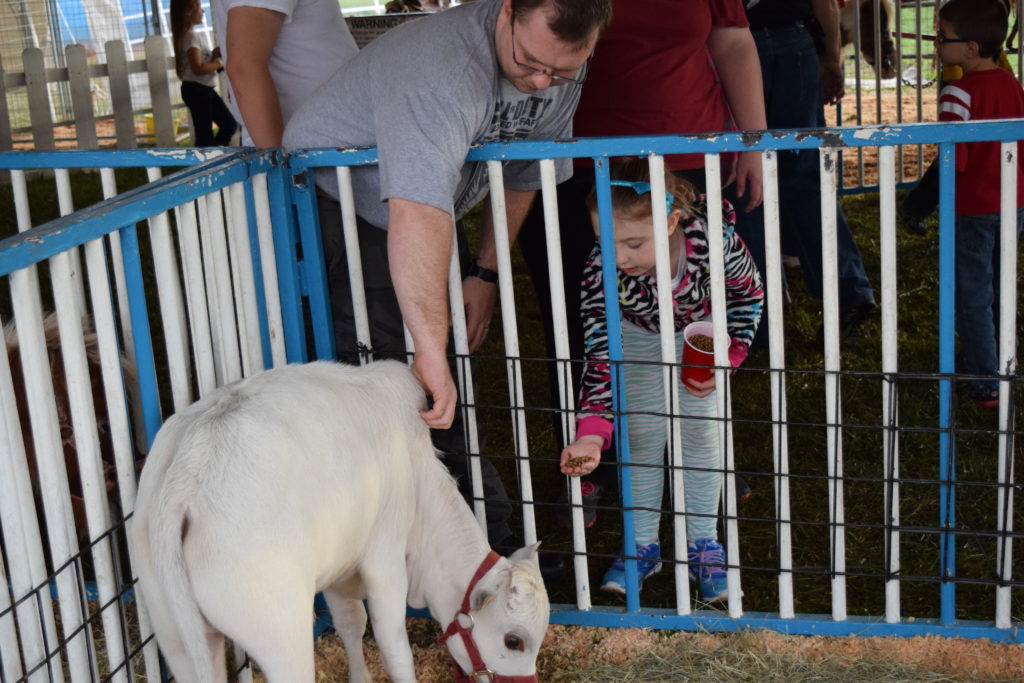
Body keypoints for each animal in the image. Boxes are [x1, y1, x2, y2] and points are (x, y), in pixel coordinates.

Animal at [132, 360, 548, 679]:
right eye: (514, 641)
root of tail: (189, 470)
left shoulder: (337, 567)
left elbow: (351, 624)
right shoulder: (385, 560)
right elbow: (394, 648)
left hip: (177, 638)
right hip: (280, 635)